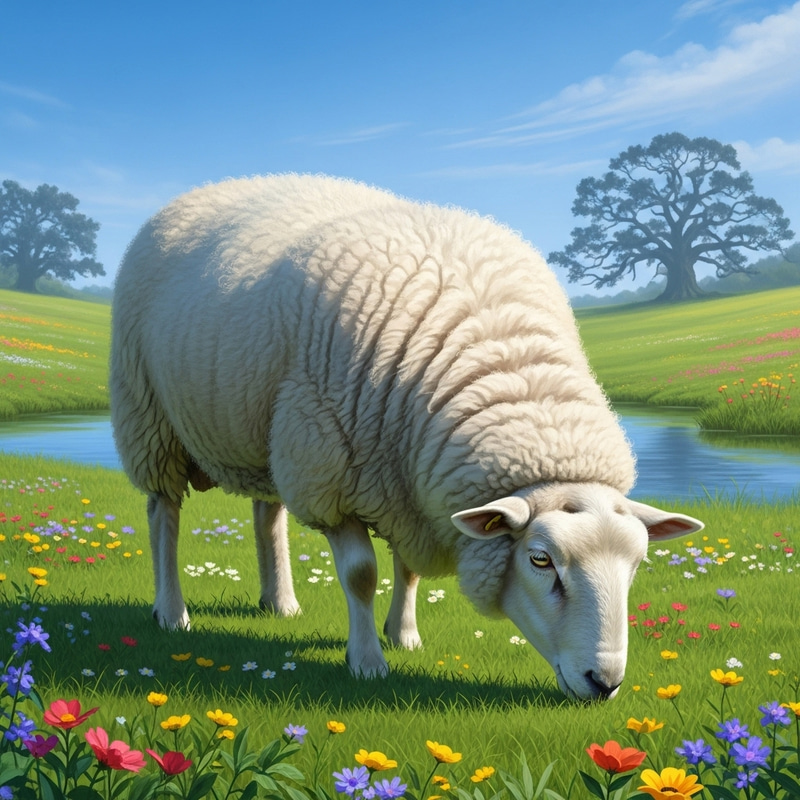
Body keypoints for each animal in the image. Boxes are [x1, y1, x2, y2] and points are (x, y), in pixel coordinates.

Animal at [110, 174, 703, 700]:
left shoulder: (408, 482)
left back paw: (279, 603)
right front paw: (368, 661)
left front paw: (405, 636)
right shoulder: (331, 475)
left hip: (270, 430)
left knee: (267, 513)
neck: (507, 373)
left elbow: (410, 570)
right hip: (150, 416)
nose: (605, 683)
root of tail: (210, 188)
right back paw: (173, 612)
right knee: (163, 513)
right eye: (540, 561)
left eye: (637, 564)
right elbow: (360, 574)